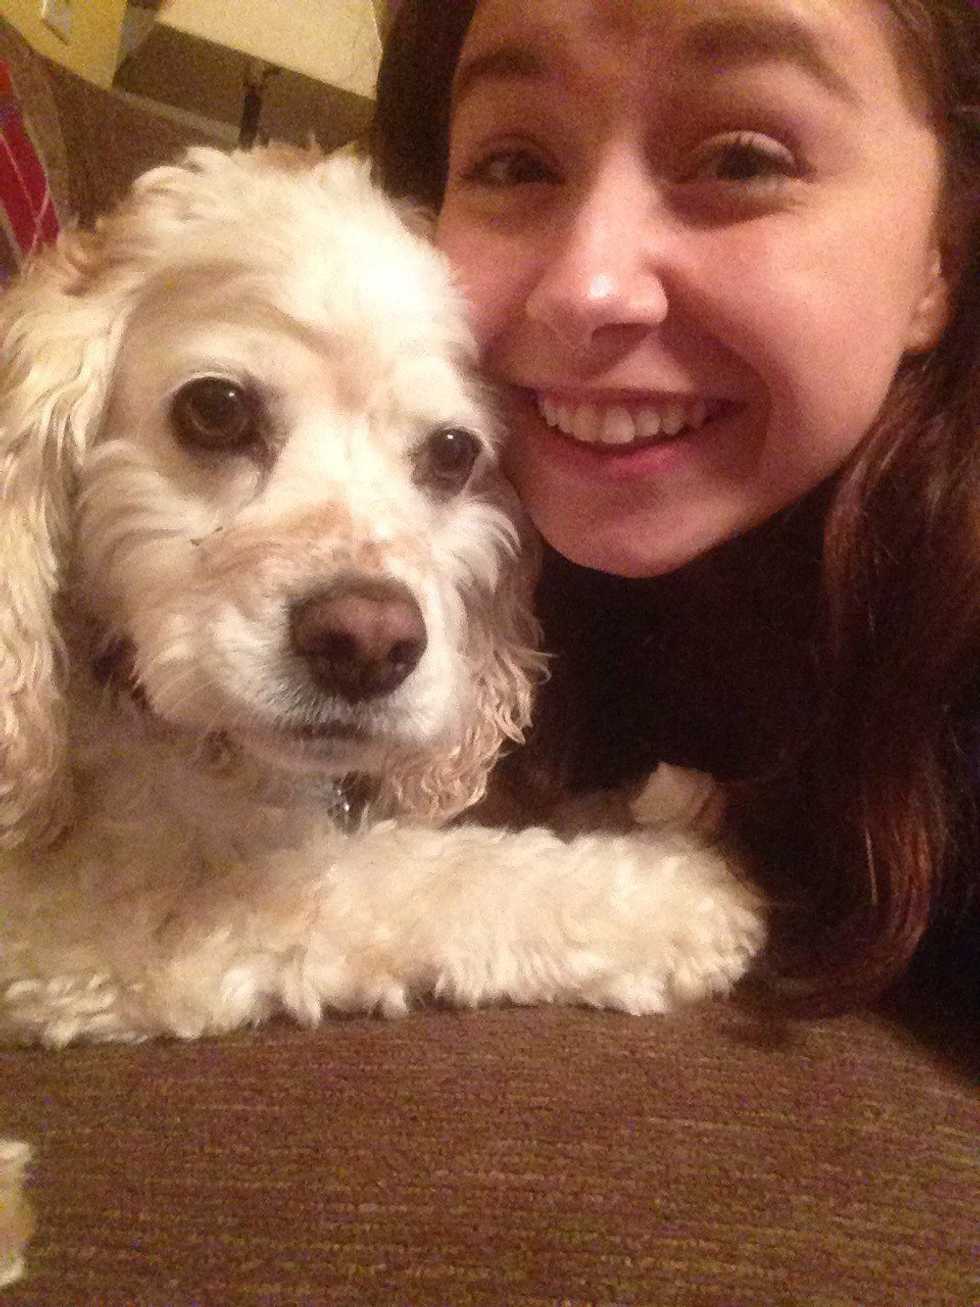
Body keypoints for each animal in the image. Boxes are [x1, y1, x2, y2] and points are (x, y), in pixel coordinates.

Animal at [0, 146, 765, 1049]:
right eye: (215, 409)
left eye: (453, 452)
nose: (367, 644)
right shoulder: (117, 917)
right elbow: (430, 877)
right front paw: (675, 890)